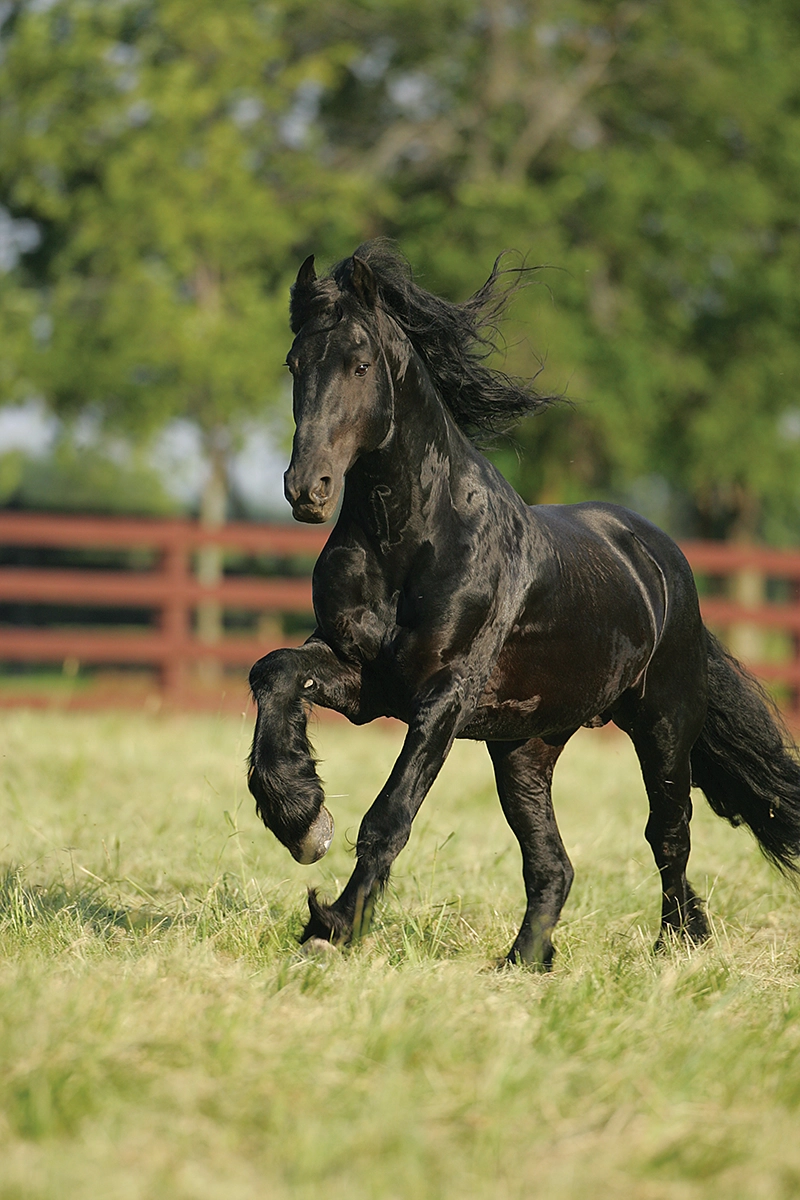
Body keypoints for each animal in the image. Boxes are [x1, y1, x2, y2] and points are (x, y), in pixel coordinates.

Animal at [247, 241, 800, 968]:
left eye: (360, 363)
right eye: (294, 363)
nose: (305, 488)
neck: (411, 538)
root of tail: (663, 564)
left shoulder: (443, 697)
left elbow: (389, 815)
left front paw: (330, 926)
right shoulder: (361, 677)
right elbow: (273, 672)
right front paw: (302, 818)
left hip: (663, 724)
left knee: (668, 834)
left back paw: (676, 947)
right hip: (525, 749)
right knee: (553, 864)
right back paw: (523, 962)